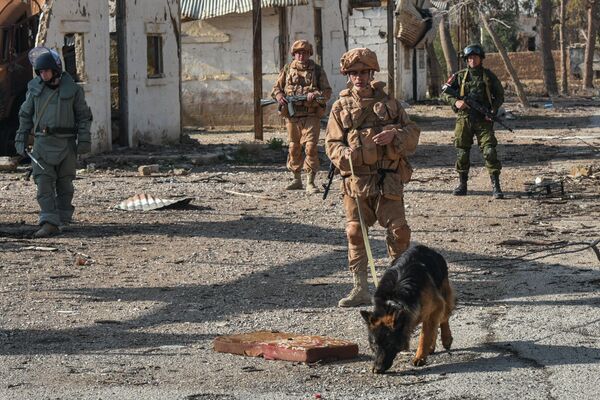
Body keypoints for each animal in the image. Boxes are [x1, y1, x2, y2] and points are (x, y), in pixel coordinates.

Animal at [360, 245, 454, 374]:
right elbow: (429, 331)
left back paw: (446, 338)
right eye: (374, 344)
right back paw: (431, 346)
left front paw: (420, 357)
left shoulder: (436, 306)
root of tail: (425, 248)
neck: (394, 302)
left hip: (443, 296)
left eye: (389, 344)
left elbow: (424, 336)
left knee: (444, 318)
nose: (377, 369)